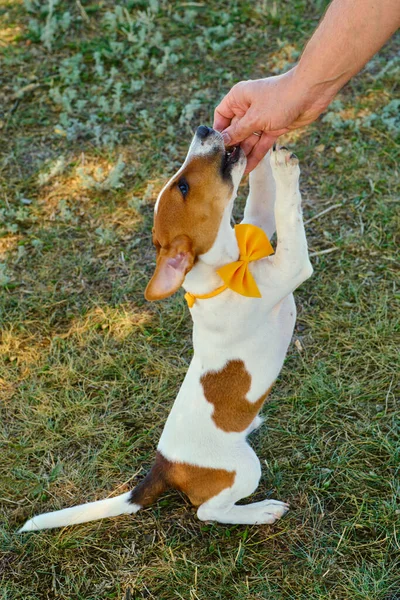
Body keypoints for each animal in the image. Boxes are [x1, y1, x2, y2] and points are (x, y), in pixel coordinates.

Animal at [19, 125, 312, 528]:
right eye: (183, 186)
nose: (204, 129)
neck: (222, 271)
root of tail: (164, 467)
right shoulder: (290, 267)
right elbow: (287, 214)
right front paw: (284, 168)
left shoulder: (255, 227)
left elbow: (262, 197)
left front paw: (263, 147)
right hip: (244, 469)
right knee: (208, 511)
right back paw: (259, 511)